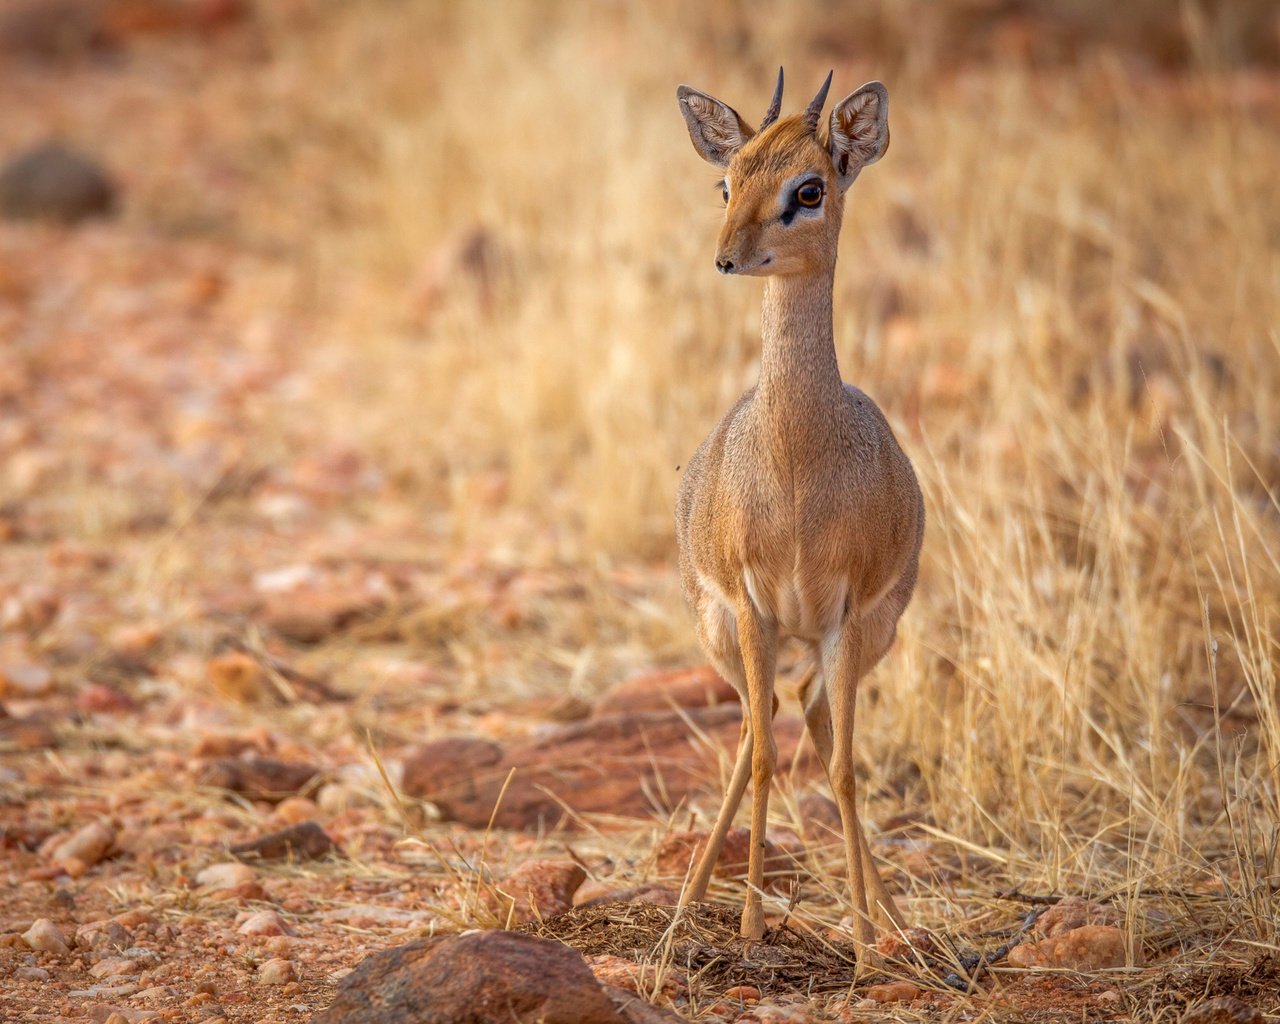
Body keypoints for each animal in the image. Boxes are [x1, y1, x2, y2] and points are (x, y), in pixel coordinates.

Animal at [675, 70, 926, 952]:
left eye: (808, 189)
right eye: (727, 181)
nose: (725, 257)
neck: (794, 468)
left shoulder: (847, 614)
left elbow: (845, 769)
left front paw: (862, 946)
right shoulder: (753, 606)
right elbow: (759, 756)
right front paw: (751, 923)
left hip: (853, 637)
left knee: (813, 720)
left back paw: (882, 919)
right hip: (729, 632)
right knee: (764, 724)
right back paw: (690, 903)